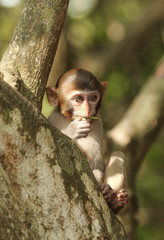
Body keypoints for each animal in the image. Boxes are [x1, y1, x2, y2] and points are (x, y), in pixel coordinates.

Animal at [45, 68, 128, 213]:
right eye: (78, 99)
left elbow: (98, 165)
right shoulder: (53, 120)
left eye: (93, 98)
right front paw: (72, 131)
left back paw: (115, 202)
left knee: (118, 155)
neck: (68, 119)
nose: (88, 110)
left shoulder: (98, 123)